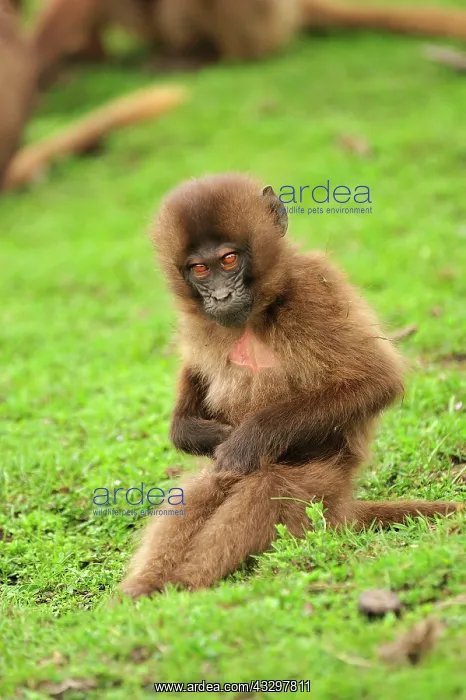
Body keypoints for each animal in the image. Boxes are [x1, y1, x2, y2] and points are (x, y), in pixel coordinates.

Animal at [119, 173, 461, 598]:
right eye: (199, 269)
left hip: (322, 494)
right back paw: (147, 585)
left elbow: (375, 380)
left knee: (268, 484)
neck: (256, 315)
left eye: (229, 260)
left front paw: (247, 441)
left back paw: (183, 581)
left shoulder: (314, 289)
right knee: (205, 488)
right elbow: (196, 376)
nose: (221, 296)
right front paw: (198, 434)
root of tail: (345, 506)